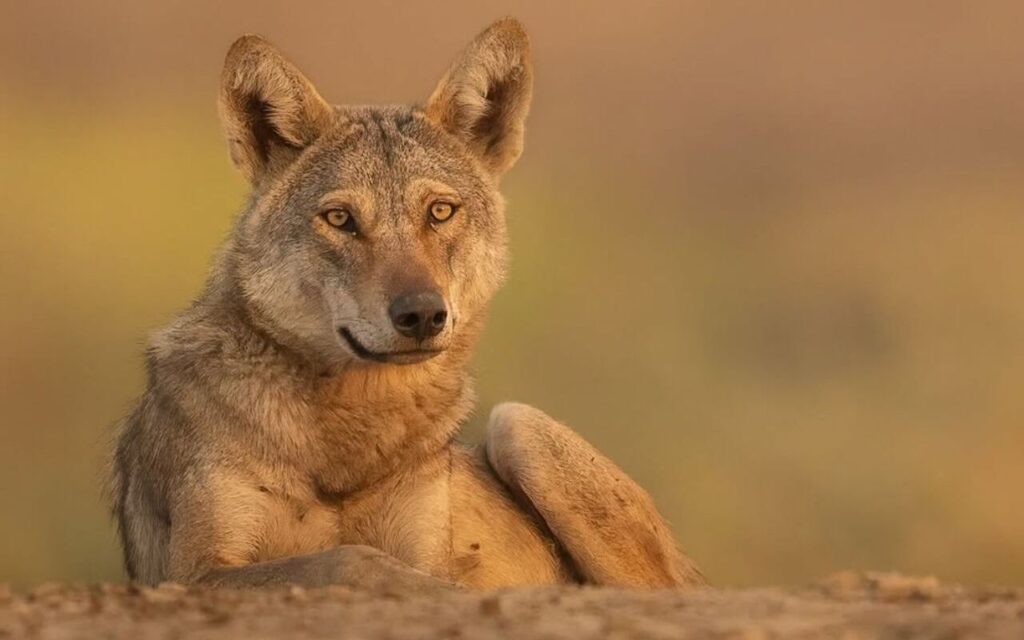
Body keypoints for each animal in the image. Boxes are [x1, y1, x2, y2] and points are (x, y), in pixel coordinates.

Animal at [109, 17, 704, 591]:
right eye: (341, 219)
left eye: (439, 211)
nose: (422, 314)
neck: (350, 433)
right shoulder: (192, 572)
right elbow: (347, 558)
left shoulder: (424, 546)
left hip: (517, 426)